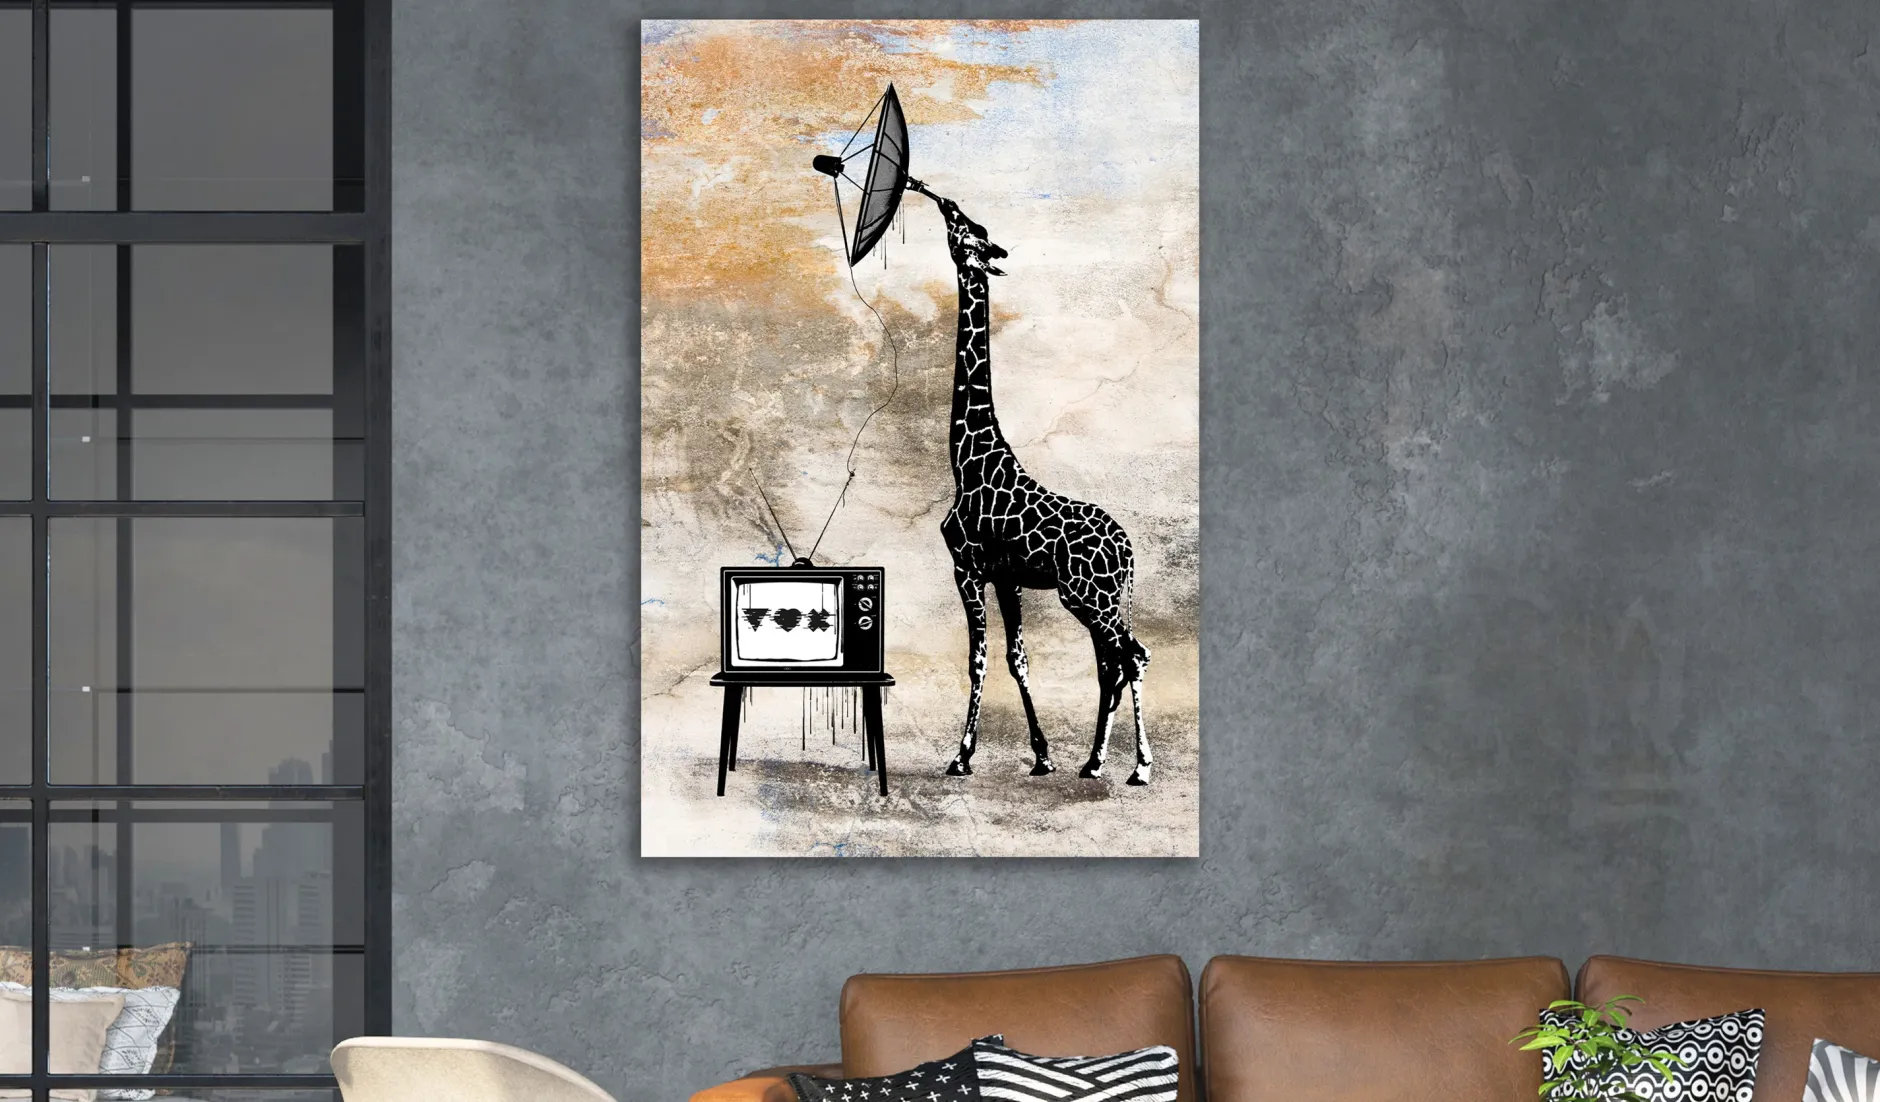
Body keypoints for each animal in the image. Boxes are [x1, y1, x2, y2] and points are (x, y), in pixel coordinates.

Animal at [924, 191, 1154, 785]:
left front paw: (961, 756)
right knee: (1113, 663)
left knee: (1131, 657)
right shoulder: (1008, 578)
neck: (967, 461)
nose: (944, 200)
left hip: (1089, 597)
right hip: (1103, 600)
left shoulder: (966, 566)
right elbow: (1017, 657)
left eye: (963, 228)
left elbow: (978, 658)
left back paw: (1140, 767)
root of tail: (1129, 551)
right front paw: (1043, 754)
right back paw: (1093, 762)